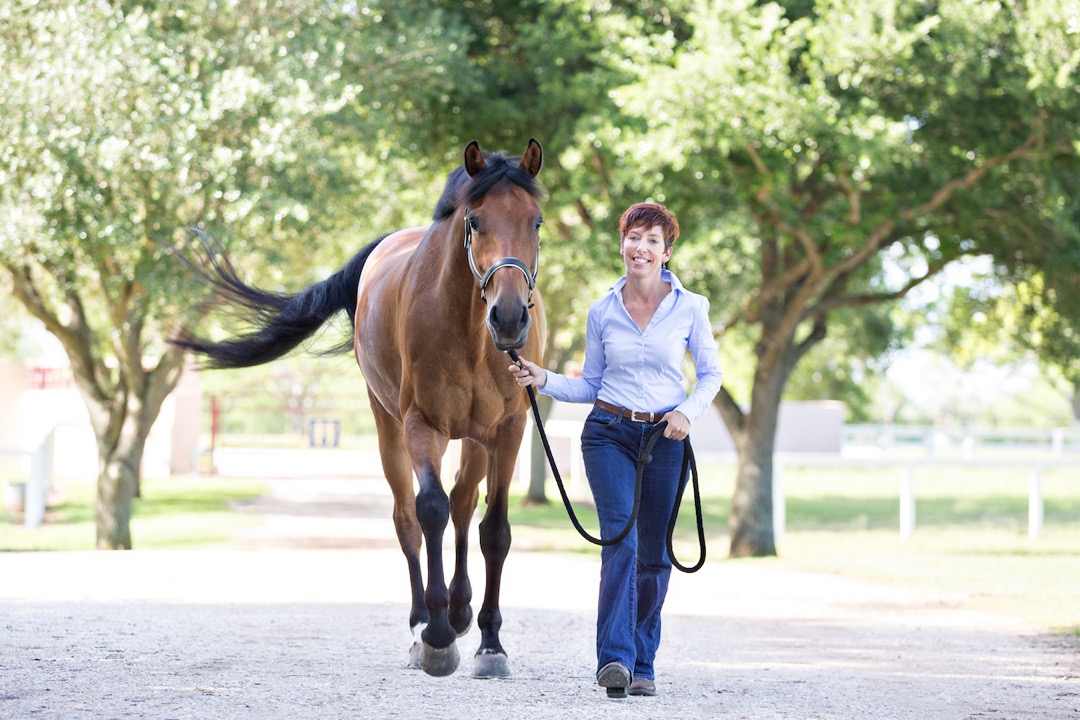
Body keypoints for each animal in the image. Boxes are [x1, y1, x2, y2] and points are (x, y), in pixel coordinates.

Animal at [174, 139, 546, 678]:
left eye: (536, 222)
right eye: (475, 222)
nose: (511, 317)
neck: (470, 332)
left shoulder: (509, 430)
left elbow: (494, 529)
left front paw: (490, 644)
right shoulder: (421, 425)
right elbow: (428, 510)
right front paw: (435, 637)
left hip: (477, 441)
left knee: (463, 501)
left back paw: (460, 611)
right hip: (388, 426)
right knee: (408, 517)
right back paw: (425, 622)